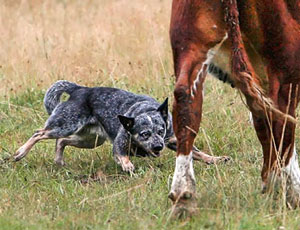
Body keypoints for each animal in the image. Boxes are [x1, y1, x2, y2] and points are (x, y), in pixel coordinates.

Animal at [14, 80, 229, 172]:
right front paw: (127, 165)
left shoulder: (173, 139)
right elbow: (122, 156)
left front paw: (215, 159)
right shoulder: (119, 145)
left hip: (91, 140)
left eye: (161, 131)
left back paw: (59, 160)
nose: (158, 146)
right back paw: (20, 153)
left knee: (61, 141)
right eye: (144, 134)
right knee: (39, 133)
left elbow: (198, 153)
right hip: (66, 124)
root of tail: (80, 89)